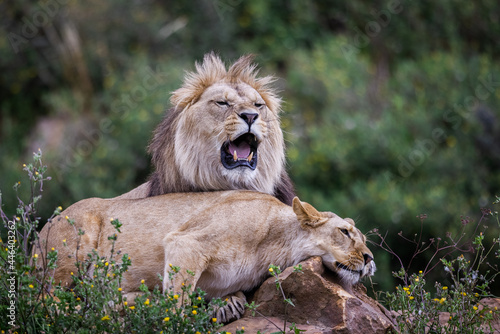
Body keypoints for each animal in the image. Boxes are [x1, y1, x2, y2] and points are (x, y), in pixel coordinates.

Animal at [36, 190, 376, 324]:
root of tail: (44, 226)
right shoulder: (186, 242)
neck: (274, 246)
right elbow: (176, 304)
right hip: (69, 254)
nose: (370, 258)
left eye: (364, 239)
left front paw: (229, 305)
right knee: (45, 301)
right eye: (346, 232)